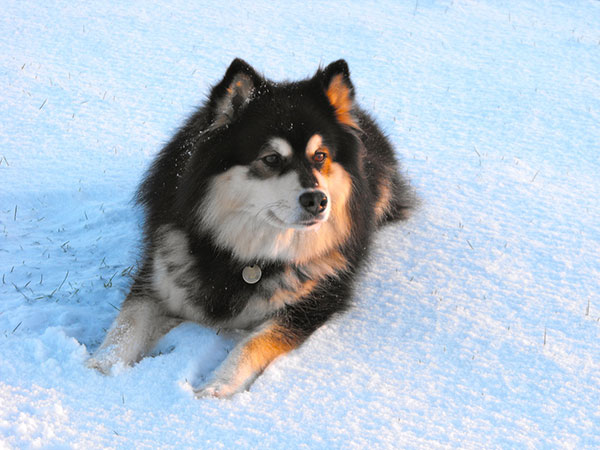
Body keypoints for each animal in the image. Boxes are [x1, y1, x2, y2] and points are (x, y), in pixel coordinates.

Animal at [86, 57, 414, 398]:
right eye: (271, 159)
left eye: (320, 156)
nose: (317, 200)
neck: (244, 254)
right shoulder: (158, 274)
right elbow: (127, 323)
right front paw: (97, 370)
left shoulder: (309, 305)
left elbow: (252, 343)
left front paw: (216, 385)